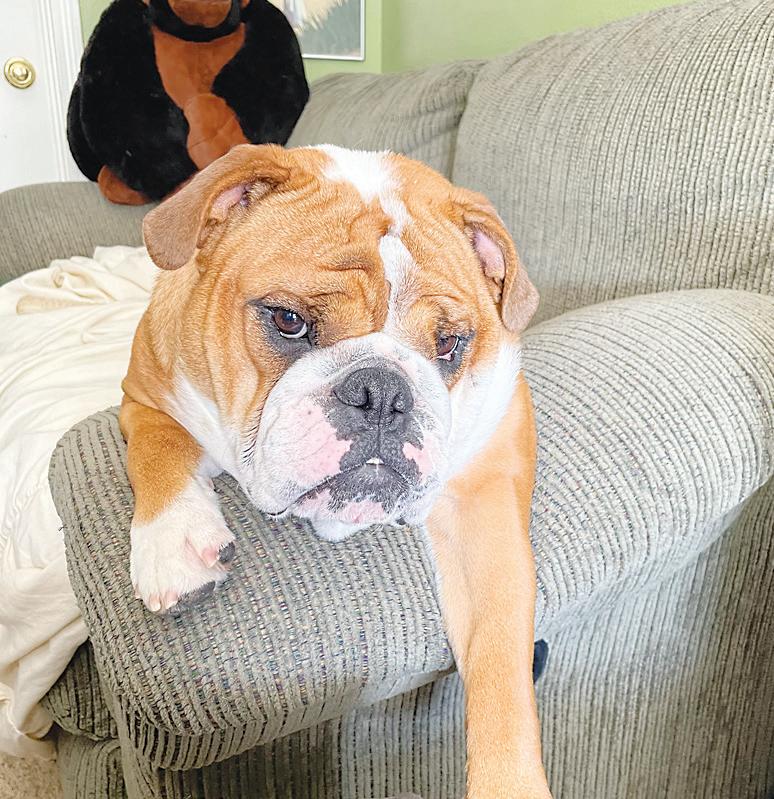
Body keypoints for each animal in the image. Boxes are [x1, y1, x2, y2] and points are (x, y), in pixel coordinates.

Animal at [121, 143, 550, 798]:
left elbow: (502, 666)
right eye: (288, 321)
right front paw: (174, 542)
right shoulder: (141, 393)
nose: (383, 393)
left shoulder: (485, 501)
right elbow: (158, 444)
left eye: (448, 344)